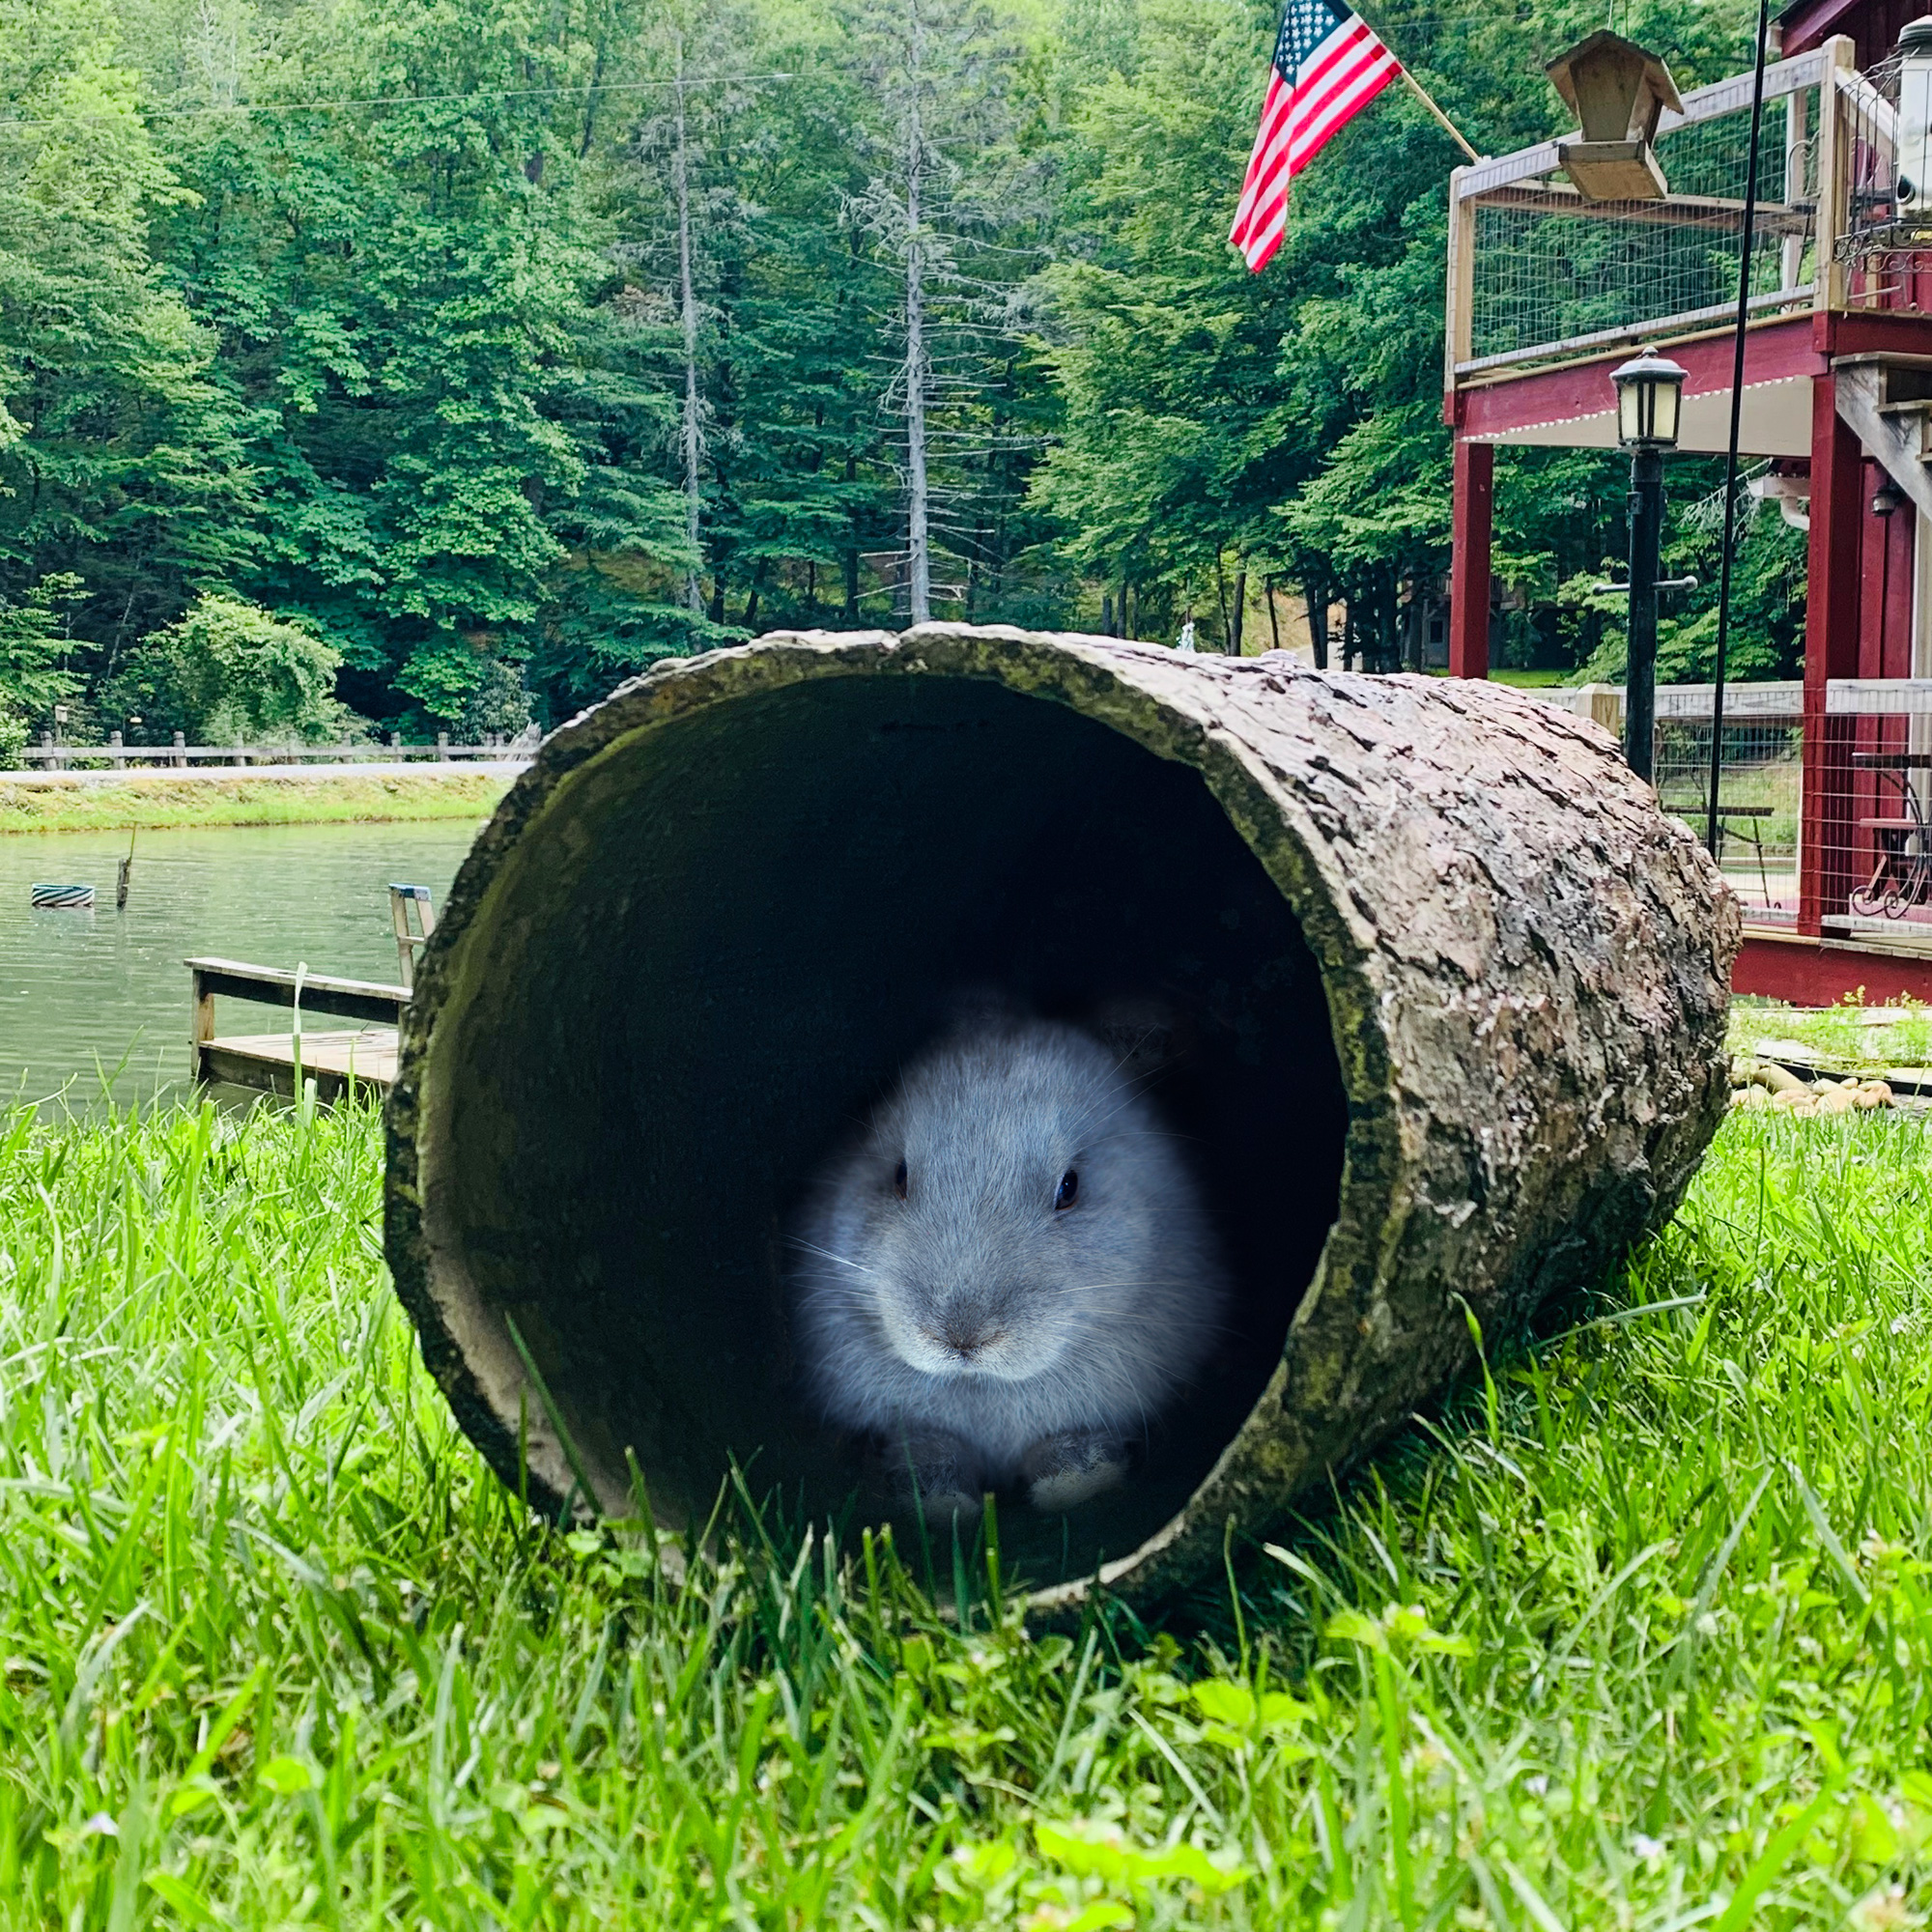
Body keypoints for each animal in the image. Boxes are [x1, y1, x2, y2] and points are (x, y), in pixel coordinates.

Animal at [789, 1008, 1227, 1520]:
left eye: (1069, 1187)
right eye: (899, 1176)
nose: (961, 1339)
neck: (983, 1387)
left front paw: (1077, 1480)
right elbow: (930, 1448)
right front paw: (938, 1499)